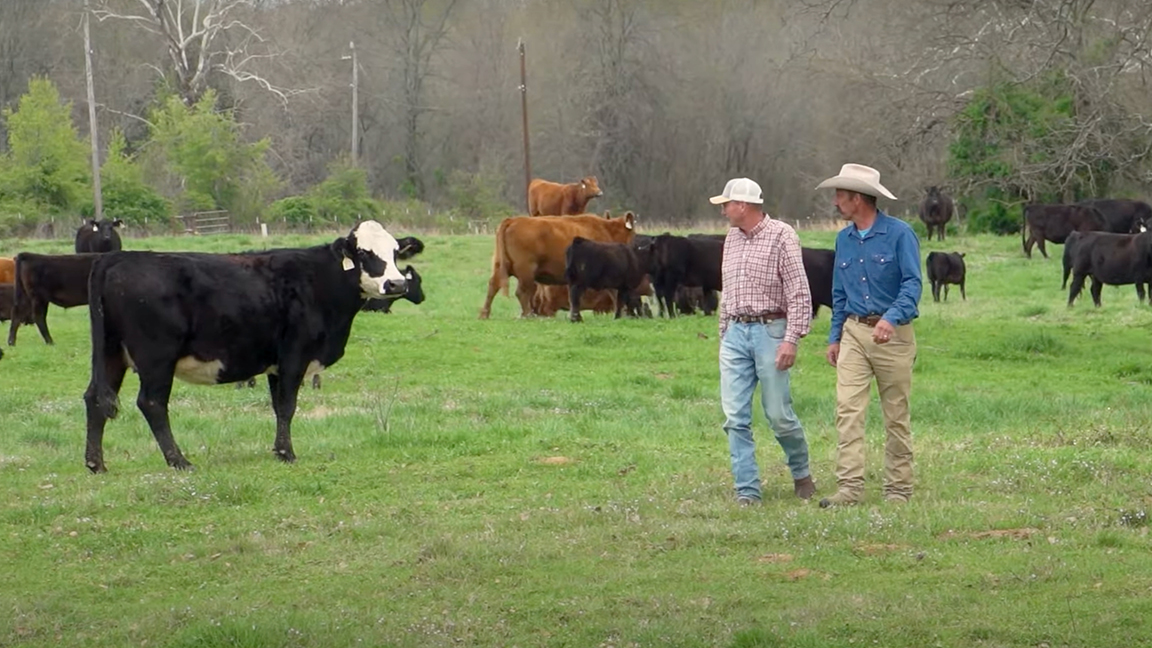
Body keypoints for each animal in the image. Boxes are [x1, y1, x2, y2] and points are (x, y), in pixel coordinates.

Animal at [82, 220, 408, 473]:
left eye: (395, 253)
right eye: (364, 252)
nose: (397, 284)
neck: (319, 281)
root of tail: (118, 258)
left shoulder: (277, 363)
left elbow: (278, 406)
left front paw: (279, 452)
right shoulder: (295, 354)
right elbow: (288, 405)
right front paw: (288, 454)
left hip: (112, 354)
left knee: (95, 399)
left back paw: (96, 464)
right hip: (156, 358)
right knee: (152, 403)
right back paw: (179, 461)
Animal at [478, 212, 636, 318]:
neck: (607, 230)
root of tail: (513, 220)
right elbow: (612, 292)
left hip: (501, 266)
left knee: (493, 286)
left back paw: (484, 314)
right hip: (526, 272)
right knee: (522, 292)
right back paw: (527, 315)